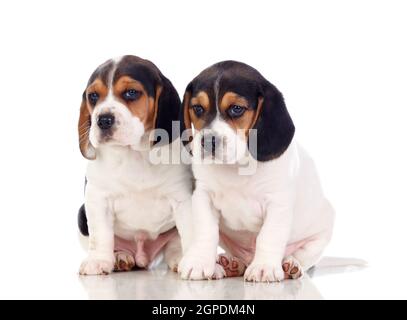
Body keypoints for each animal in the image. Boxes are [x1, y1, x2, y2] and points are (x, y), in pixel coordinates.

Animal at [77, 55, 193, 276]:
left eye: (131, 93)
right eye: (93, 96)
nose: (103, 120)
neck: (134, 154)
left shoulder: (183, 199)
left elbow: (192, 233)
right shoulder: (97, 198)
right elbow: (100, 235)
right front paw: (97, 261)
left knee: (175, 244)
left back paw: (178, 258)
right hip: (81, 215)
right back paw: (120, 257)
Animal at [178, 61, 334, 282]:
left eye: (236, 109)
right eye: (198, 108)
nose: (207, 141)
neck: (236, 166)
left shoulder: (277, 203)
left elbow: (269, 236)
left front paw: (264, 267)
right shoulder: (203, 196)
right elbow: (206, 232)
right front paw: (199, 262)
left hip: (322, 230)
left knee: (304, 257)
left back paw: (290, 266)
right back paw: (231, 263)